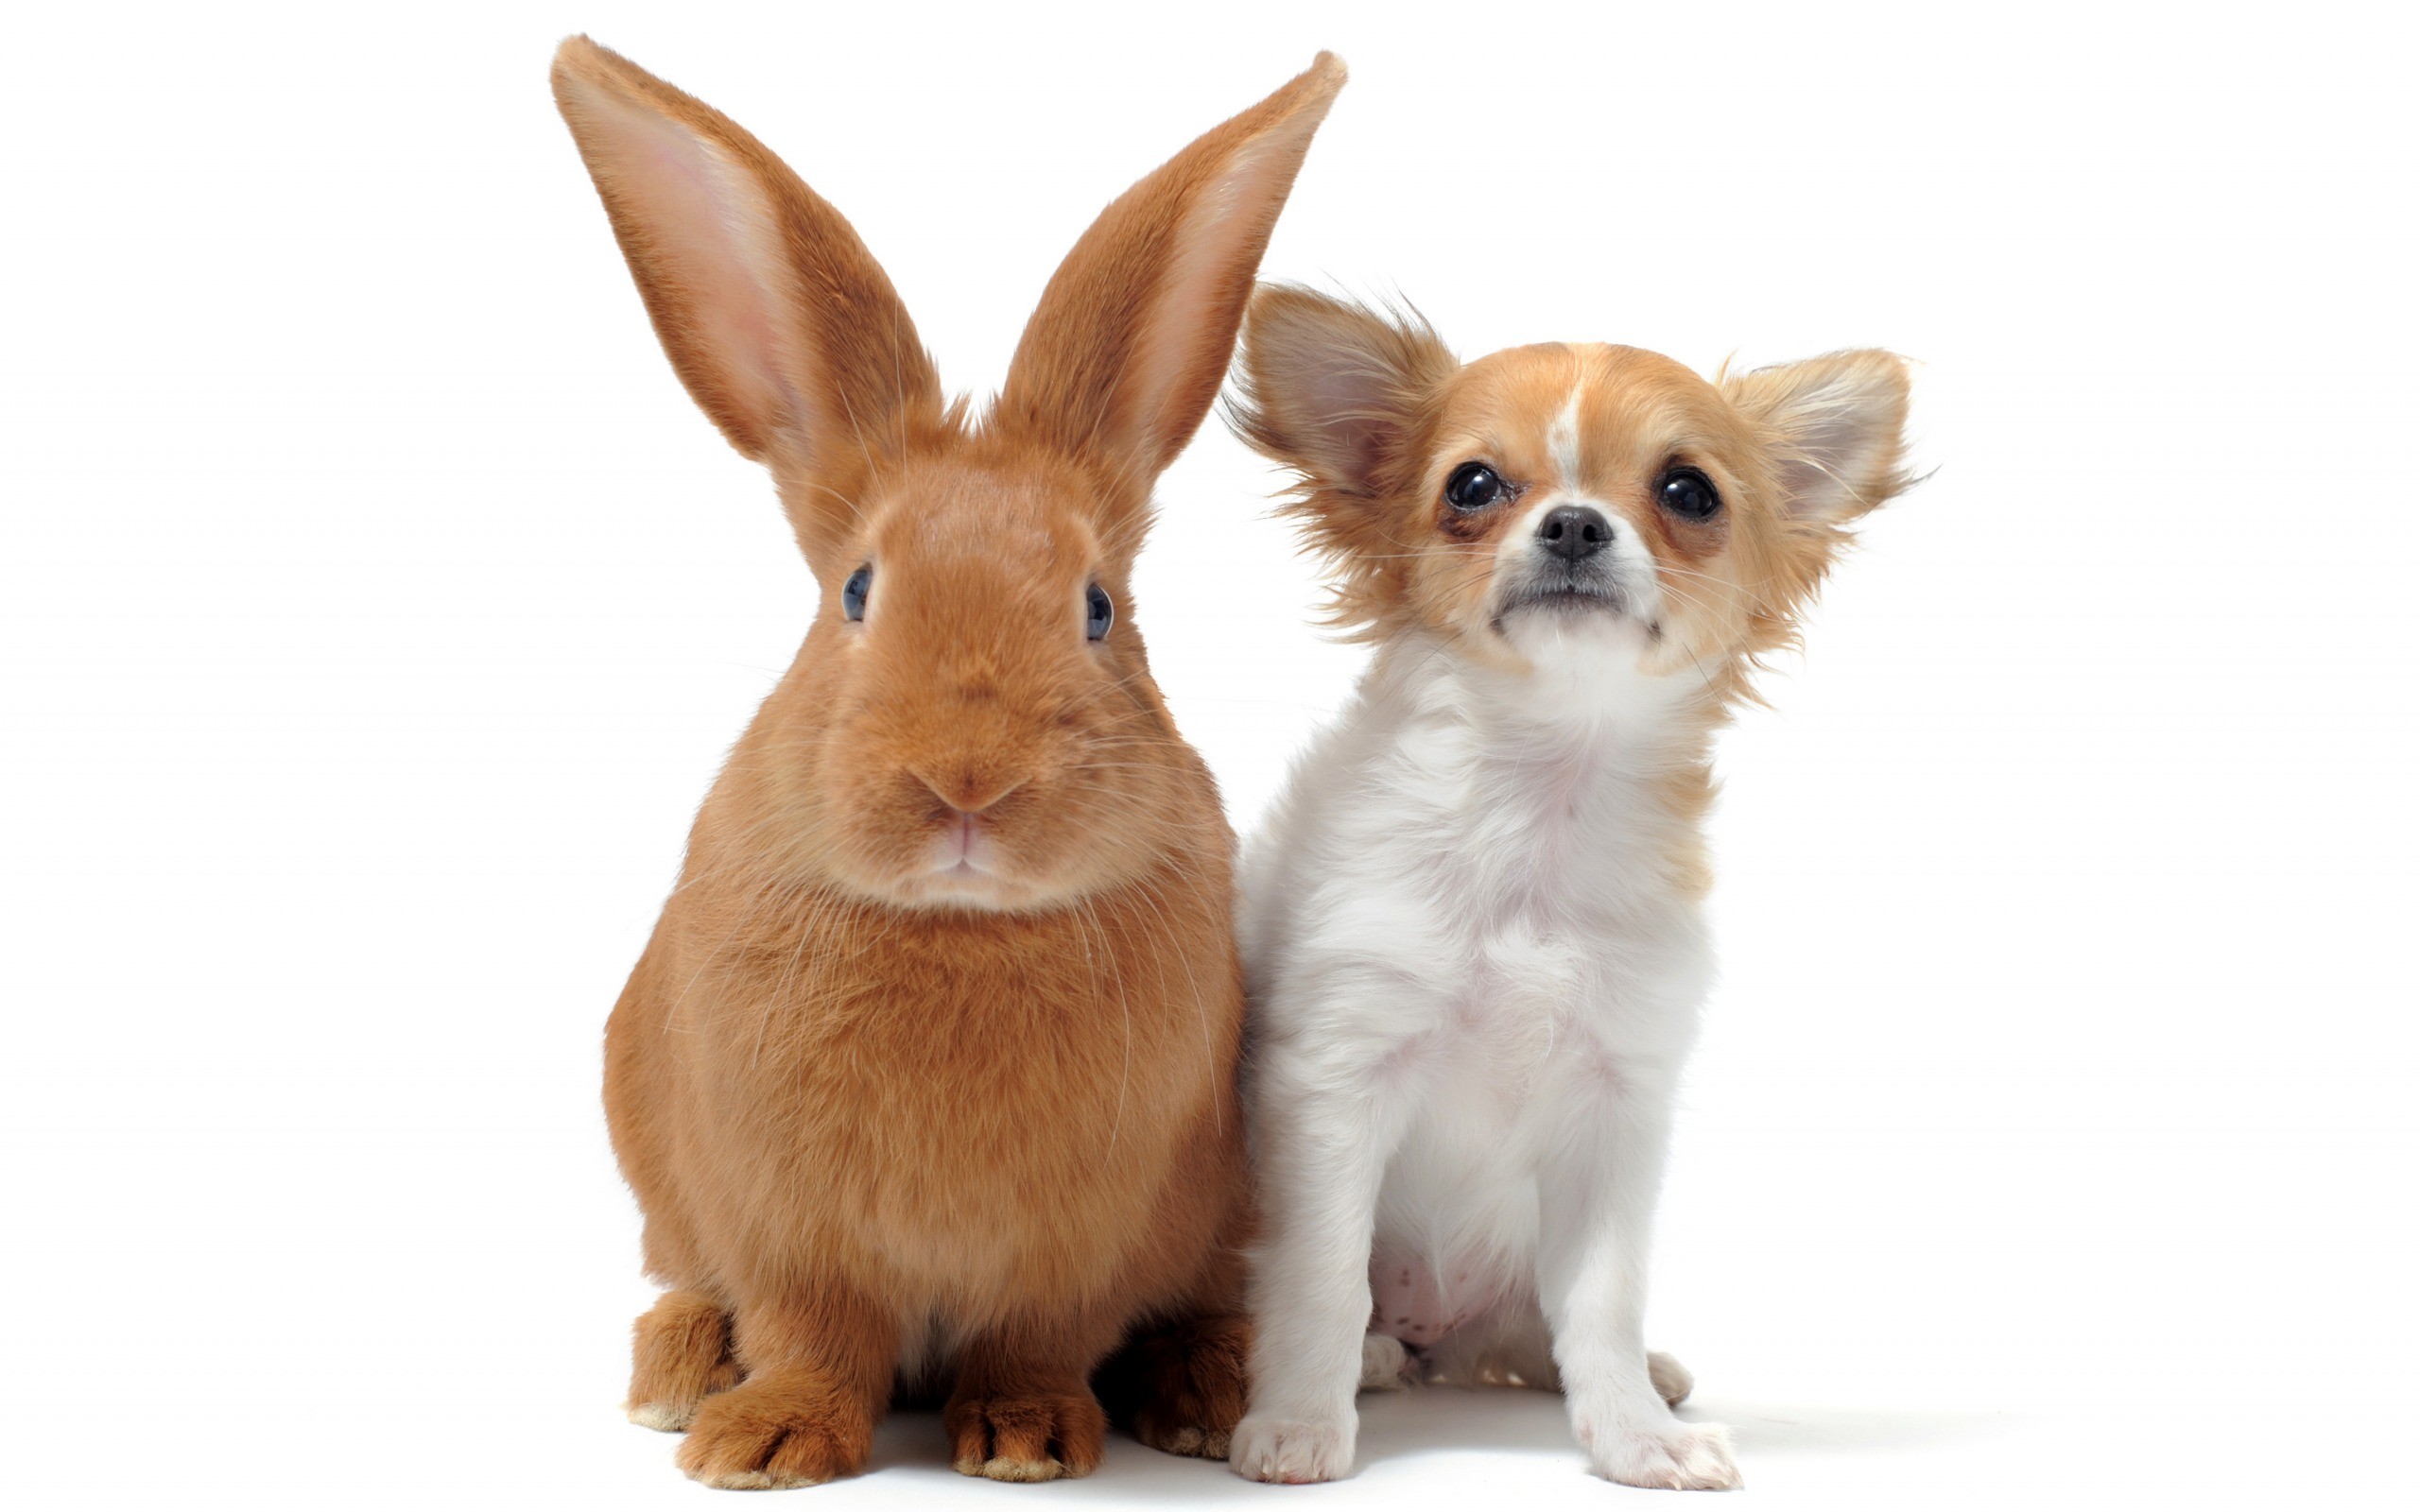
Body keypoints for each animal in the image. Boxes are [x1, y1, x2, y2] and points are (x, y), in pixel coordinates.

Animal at [549, 36, 1345, 1489]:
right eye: (857, 592)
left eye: (1099, 609)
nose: (967, 783)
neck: (962, 928)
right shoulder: (782, 1227)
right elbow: (809, 1333)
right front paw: (763, 1443)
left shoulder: (1077, 1246)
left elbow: (1036, 1340)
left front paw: (1026, 1439)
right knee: (683, 1279)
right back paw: (676, 1376)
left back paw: (1207, 1391)